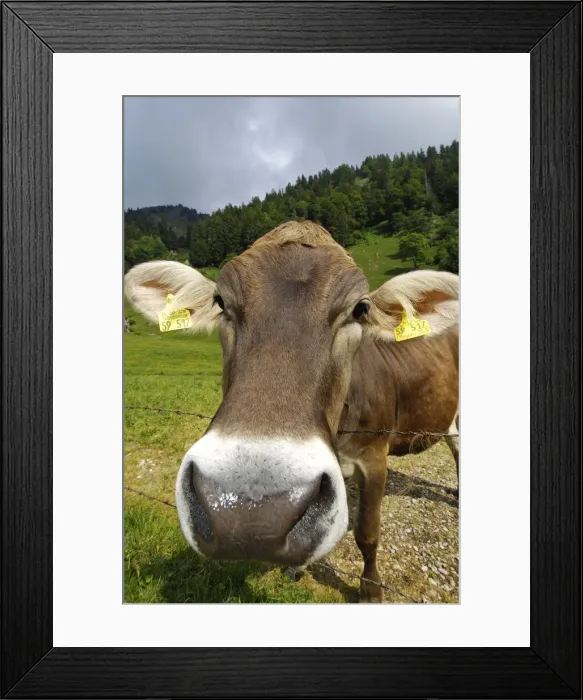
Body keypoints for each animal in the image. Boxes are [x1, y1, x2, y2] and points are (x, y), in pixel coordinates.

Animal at [125, 220, 459, 602]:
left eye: (360, 309)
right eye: (220, 302)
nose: (251, 513)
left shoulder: (375, 455)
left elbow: (367, 533)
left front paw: (371, 589)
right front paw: (294, 567)